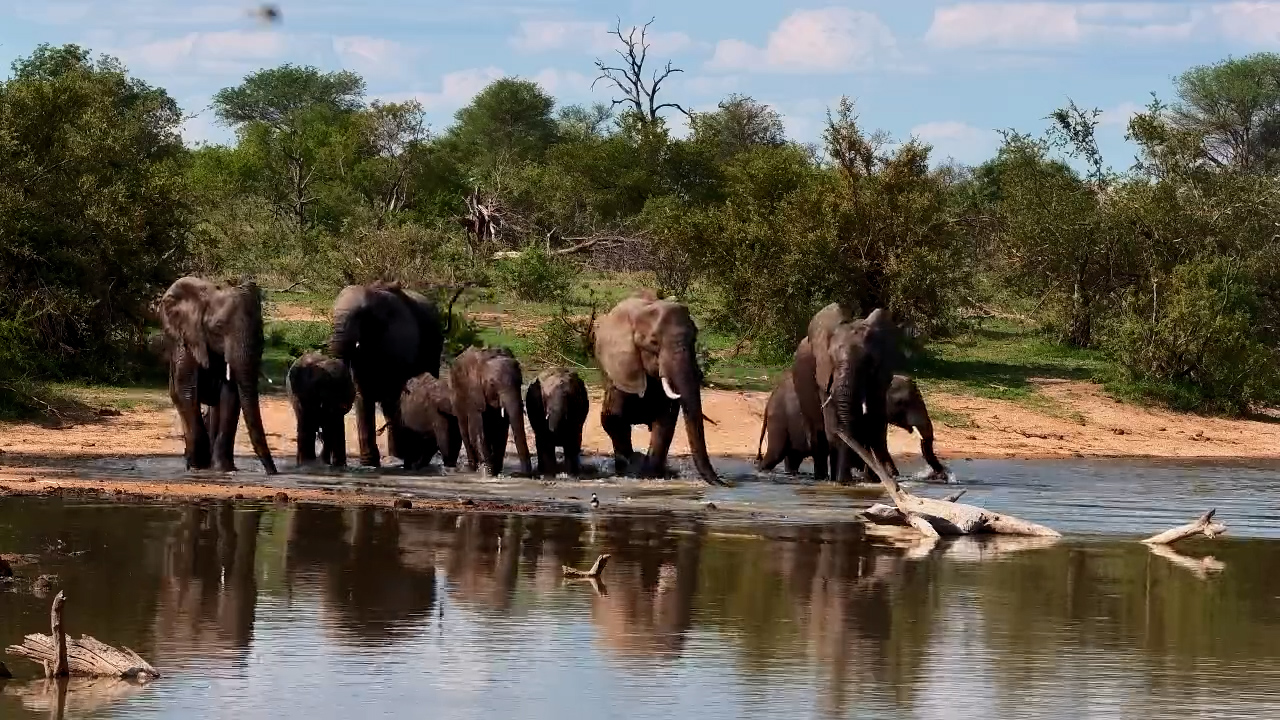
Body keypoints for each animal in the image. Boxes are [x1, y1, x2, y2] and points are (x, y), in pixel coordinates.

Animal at [160, 276, 277, 475]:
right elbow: (187, 392)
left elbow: (230, 396)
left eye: (261, 331)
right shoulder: (188, 342)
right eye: (219, 327)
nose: (273, 472)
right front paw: (197, 466)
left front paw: (224, 470)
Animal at [451, 346, 533, 476]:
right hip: (457, 397)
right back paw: (472, 468)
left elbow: (502, 429)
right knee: (464, 428)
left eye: (520, 382)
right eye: (492, 384)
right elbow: (478, 428)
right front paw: (488, 472)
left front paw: (496, 471)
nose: (519, 474)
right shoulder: (474, 392)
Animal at [594, 295, 722, 485]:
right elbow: (612, 417)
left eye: (694, 340)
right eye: (653, 343)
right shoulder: (619, 368)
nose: (723, 483)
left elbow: (665, 421)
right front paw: (633, 468)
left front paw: (650, 474)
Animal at [757, 372, 948, 480]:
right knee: (776, 454)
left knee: (793, 458)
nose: (941, 476)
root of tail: (768, 402)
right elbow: (876, 446)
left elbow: (874, 445)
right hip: (780, 421)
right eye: (902, 402)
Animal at [792, 303, 904, 483]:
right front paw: (843, 482)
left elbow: (874, 424)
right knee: (818, 436)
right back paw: (823, 479)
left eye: (869, 362)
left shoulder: (881, 375)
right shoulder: (824, 375)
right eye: (831, 359)